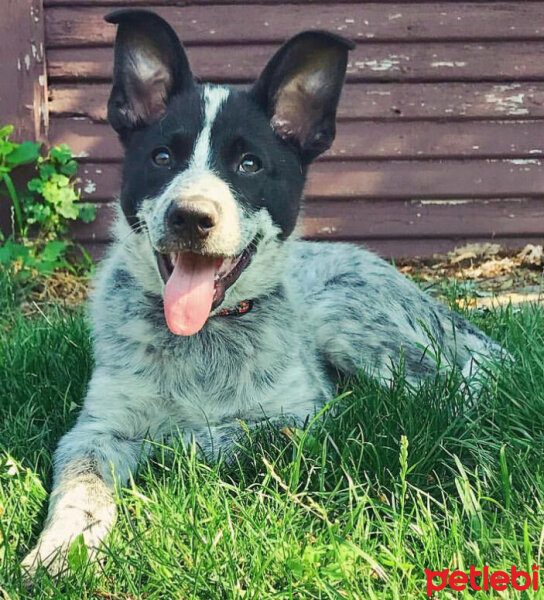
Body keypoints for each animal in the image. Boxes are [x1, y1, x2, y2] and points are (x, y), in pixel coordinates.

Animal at [23, 9, 504, 580]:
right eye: (162, 156)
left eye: (249, 165)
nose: (190, 216)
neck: (203, 340)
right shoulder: (96, 427)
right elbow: (82, 480)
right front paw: (61, 548)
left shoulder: (307, 416)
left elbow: (231, 435)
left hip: (354, 321)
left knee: (460, 386)